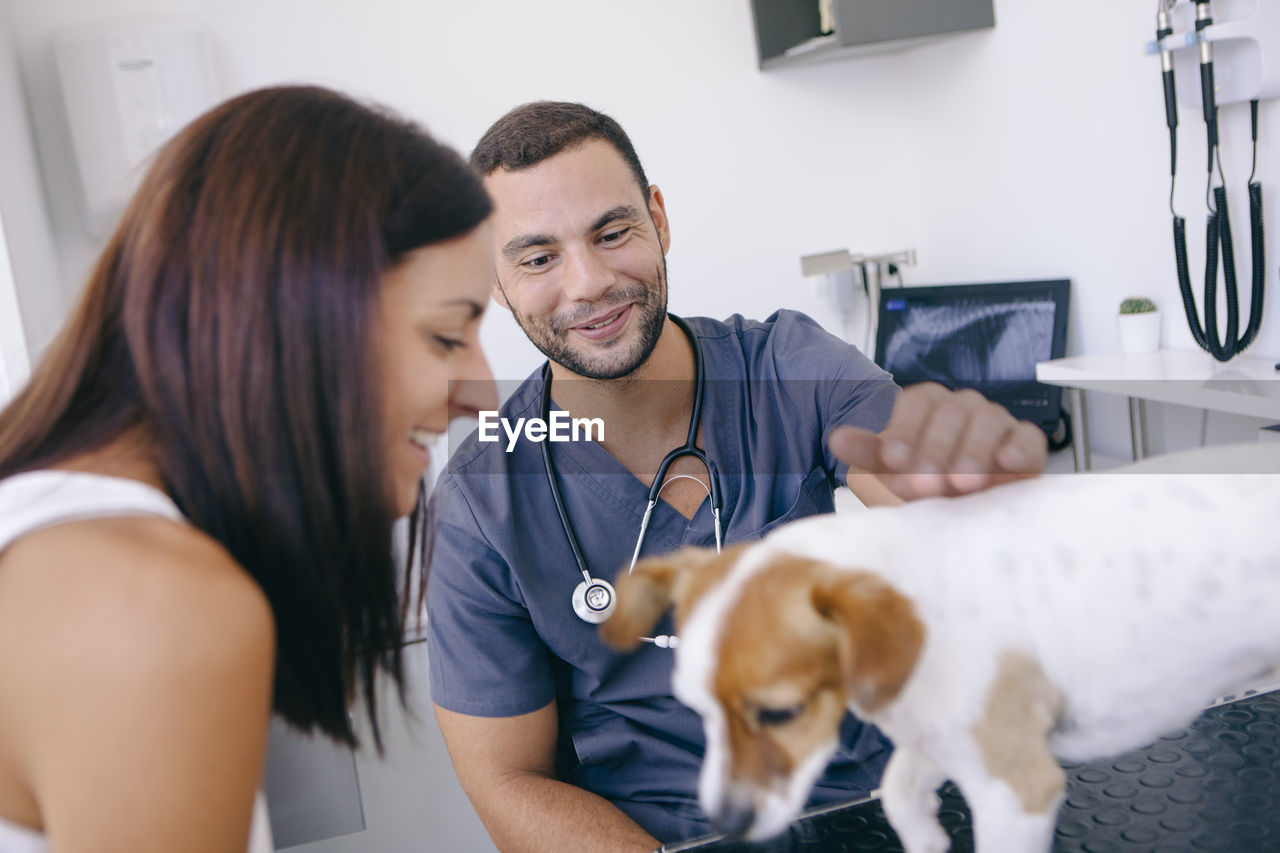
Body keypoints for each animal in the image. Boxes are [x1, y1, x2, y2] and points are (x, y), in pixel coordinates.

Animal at [599, 461, 1280, 850]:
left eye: (781, 714)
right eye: (698, 711)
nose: (727, 822)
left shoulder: (1015, 789)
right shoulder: (935, 740)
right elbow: (898, 795)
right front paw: (926, 837)